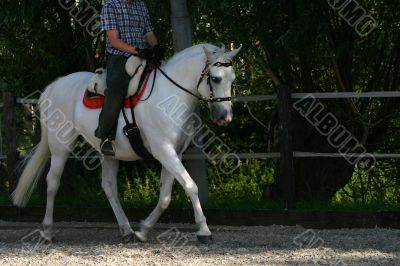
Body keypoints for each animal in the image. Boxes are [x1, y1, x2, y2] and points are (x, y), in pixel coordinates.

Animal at [10, 43, 241, 243]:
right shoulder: (164, 151)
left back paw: (127, 230)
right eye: (215, 78)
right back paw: (47, 232)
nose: (225, 116)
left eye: (233, 78)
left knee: (109, 186)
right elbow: (191, 186)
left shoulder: (173, 153)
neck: (170, 97)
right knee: (52, 182)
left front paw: (143, 230)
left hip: (108, 152)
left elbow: (165, 197)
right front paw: (204, 230)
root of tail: (56, 84)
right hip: (61, 145)